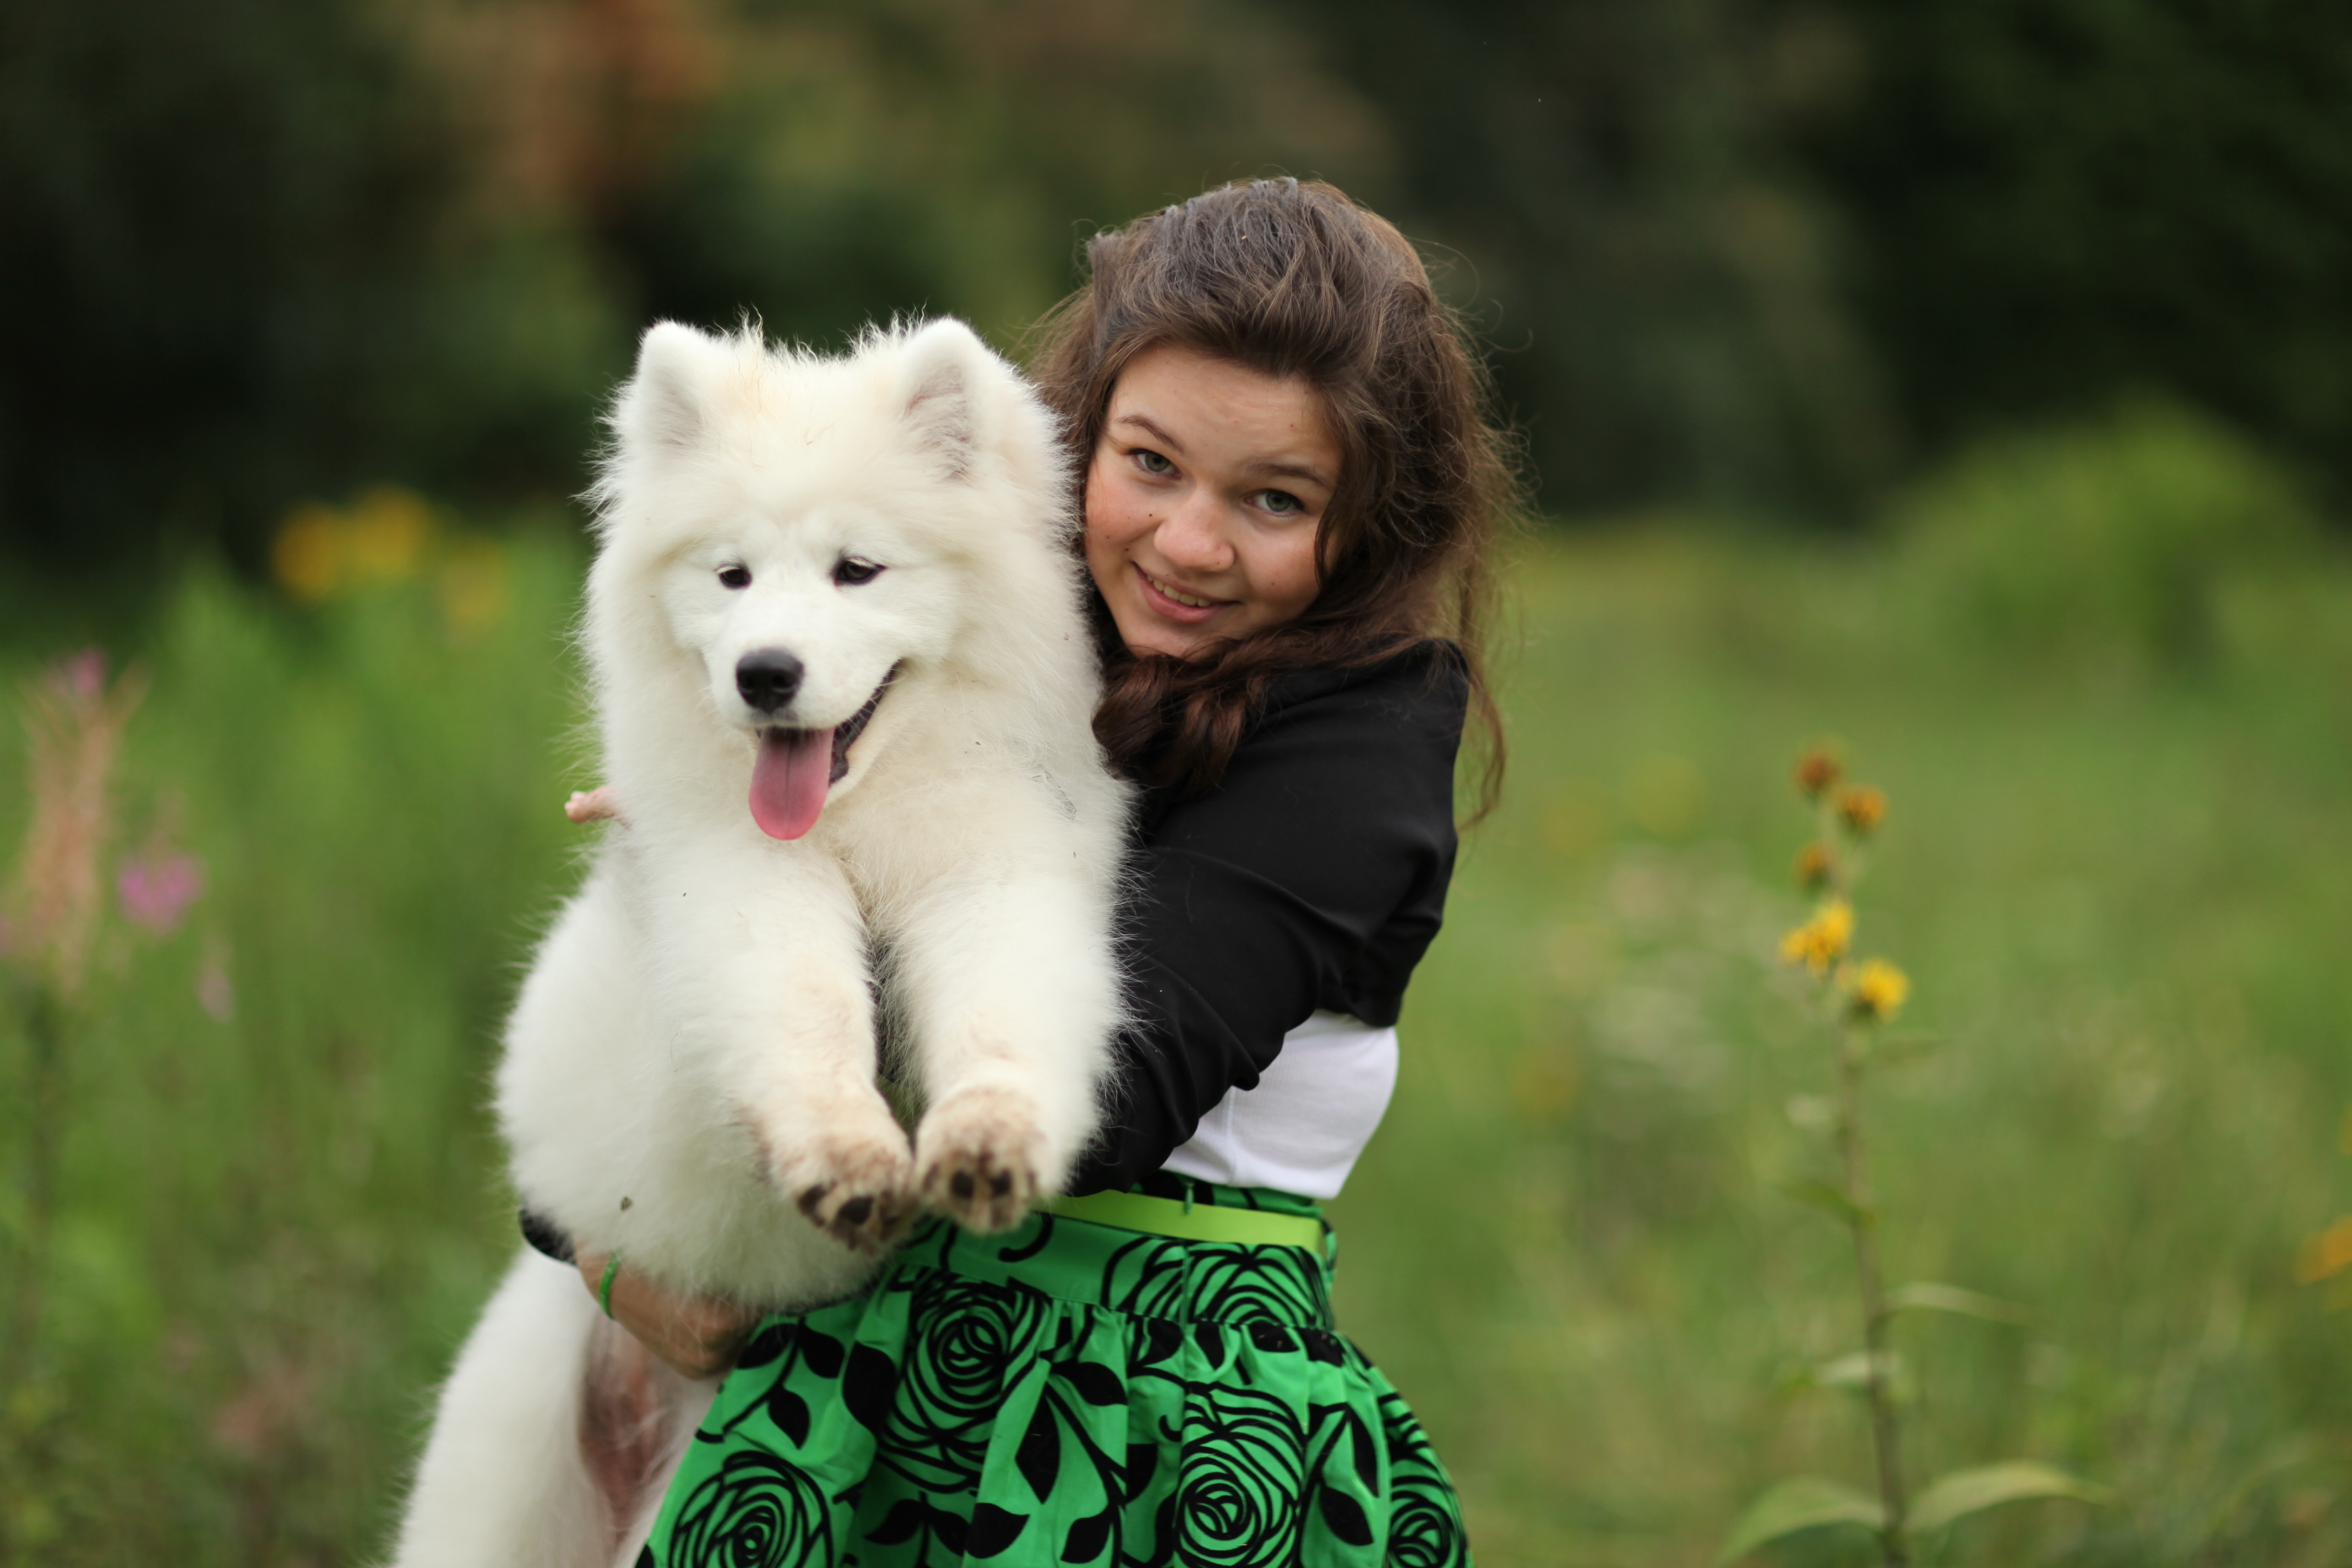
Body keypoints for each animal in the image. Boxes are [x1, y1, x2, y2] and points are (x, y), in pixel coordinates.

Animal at [390, 318, 1129, 1567]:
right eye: (730, 575)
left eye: (857, 569)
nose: (764, 673)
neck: (860, 815)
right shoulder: (740, 884)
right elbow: (807, 1007)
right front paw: (844, 1155)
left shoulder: (997, 874)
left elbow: (1002, 1013)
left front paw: (989, 1143)